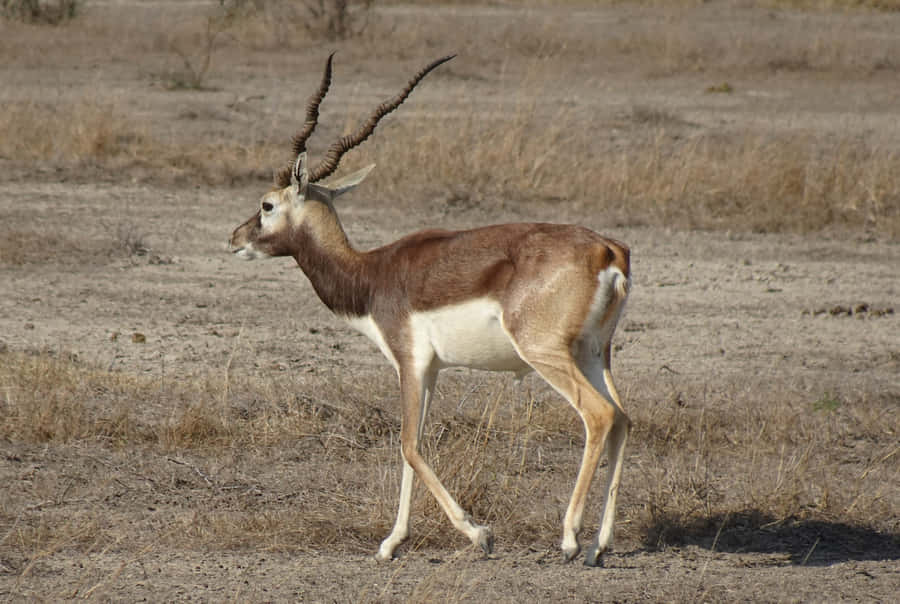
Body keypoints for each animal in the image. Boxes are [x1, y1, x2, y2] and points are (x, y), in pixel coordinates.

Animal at [229, 55, 632, 566]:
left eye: (266, 204)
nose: (234, 238)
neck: (371, 274)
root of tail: (607, 251)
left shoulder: (409, 361)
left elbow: (408, 443)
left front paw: (479, 534)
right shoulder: (432, 370)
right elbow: (412, 446)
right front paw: (390, 543)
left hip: (547, 354)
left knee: (598, 416)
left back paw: (570, 539)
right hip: (594, 353)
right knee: (623, 418)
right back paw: (600, 545)